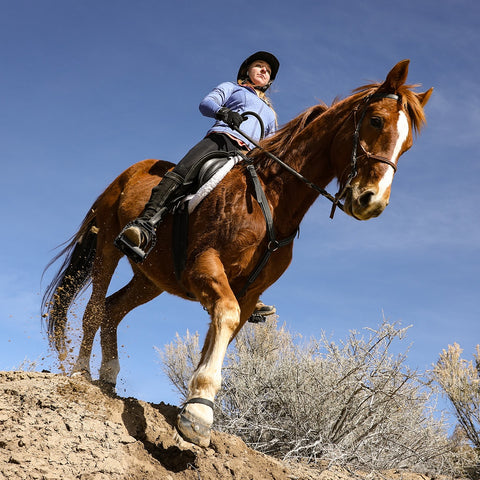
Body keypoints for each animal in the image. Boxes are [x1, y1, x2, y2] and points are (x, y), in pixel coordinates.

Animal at [42, 60, 432, 446]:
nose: (372, 201)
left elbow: (221, 334)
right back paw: (80, 372)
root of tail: (129, 173)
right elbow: (224, 317)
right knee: (95, 308)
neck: (272, 199)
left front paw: (196, 406)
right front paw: (199, 415)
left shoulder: (247, 292)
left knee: (112, 309)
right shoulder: (205, 267)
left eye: (408, 144)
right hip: (108, 246)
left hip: (151, 279)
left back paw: (108, 376)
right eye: (376, 121)